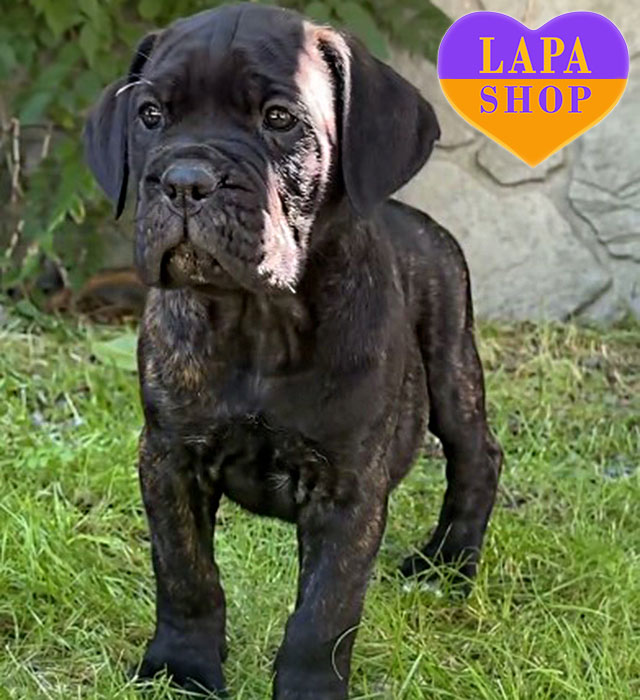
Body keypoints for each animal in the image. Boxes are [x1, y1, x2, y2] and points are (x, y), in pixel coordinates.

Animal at [84, 4, 502, 698]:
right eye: (150, 114)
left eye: (279, 118)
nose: (186, 181)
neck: (259, 318)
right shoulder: (168, 458)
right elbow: (186, 573)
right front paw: (181, 668)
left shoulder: (348, 487)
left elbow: (325, 611)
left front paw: (308, 687)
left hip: (451, 361)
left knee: (477, 455)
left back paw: (447, 564)